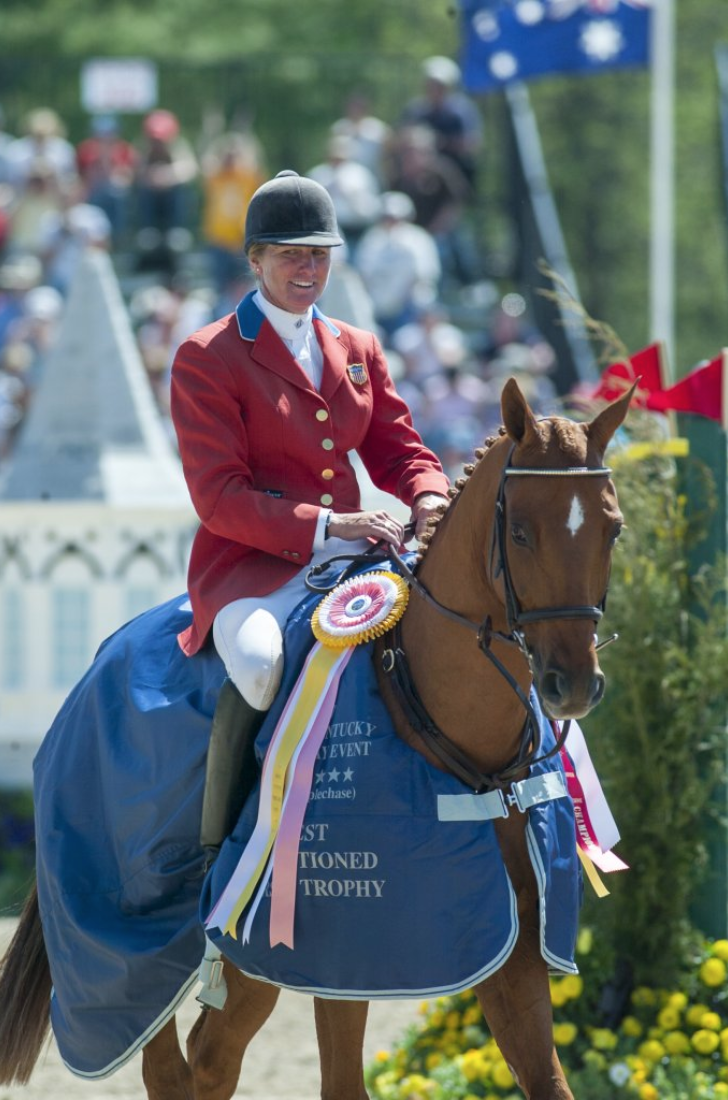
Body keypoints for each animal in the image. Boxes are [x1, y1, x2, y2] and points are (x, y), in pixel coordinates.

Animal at [0, 377, 632, 1100]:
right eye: (520, 532)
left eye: (612, 528)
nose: (571, 685)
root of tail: (103, 654)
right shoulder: (340, 957)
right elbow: (343, 1083)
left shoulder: (515, 943)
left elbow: (547, 1078)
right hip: (133, 950)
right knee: (163, 1055)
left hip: (241, 955)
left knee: (210, 1060)